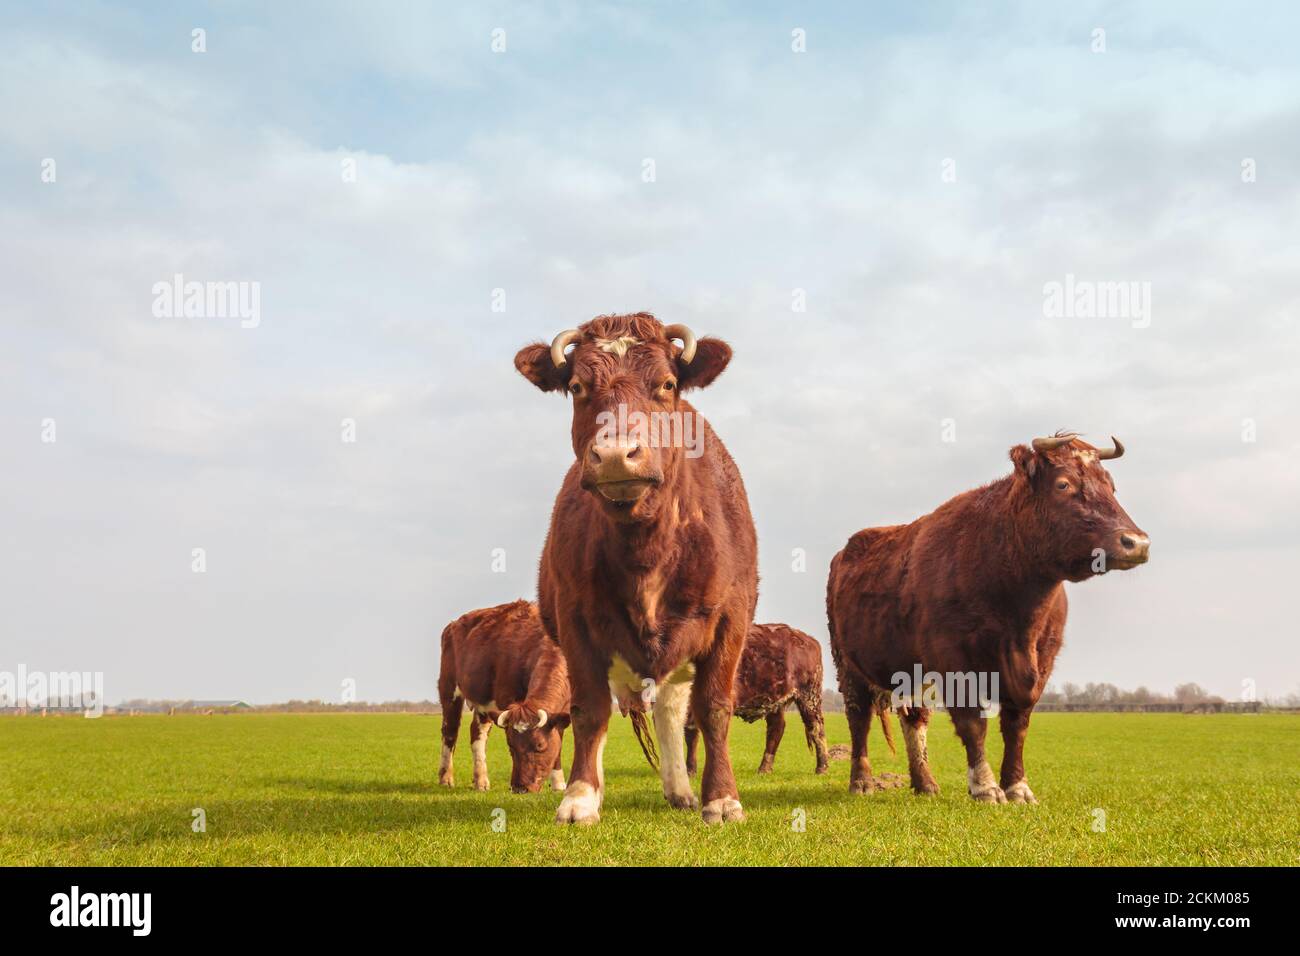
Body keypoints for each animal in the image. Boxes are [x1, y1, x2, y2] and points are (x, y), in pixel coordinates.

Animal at [436, 600, 571, 794]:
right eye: (511, 745)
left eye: (540, 746)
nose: (520, 787)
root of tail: (452, 624)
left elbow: (558, 742)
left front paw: (559, 784)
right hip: (449, 689)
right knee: (450, 732)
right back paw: (446, 778)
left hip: (483, 702)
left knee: (477, 734)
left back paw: (481, 781)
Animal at [514, 312, 758, 825]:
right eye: (578, 387)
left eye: (667, 384)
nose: (614, 455)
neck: (646, 548)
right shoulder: (575, 621)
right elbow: (588, 710)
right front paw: (580, 797)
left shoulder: (730, 620)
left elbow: (714, 709)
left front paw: (722, 798)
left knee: (670, 712)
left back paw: (681, 790)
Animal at [684, 623, 831, 776]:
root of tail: (808, 640)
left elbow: (694, 732)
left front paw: (691, 770)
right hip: (776, 701)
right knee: (777, 728)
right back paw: (764, 768)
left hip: (808, 697)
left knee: (816, 727)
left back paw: (822, 768)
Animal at [826, 432, 1150, 804]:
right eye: (1063, 484)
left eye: (1111, 485)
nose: (1137, 542)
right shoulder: (953, 658)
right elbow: (973, 722)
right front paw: (985, 786)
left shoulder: (1043, 658)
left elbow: (1016, 724)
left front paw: (1018, 787)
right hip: (848, 664)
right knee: (859, 717)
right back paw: (862, 780)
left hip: (913, 671)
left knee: (915, 719)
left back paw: (925, 783)